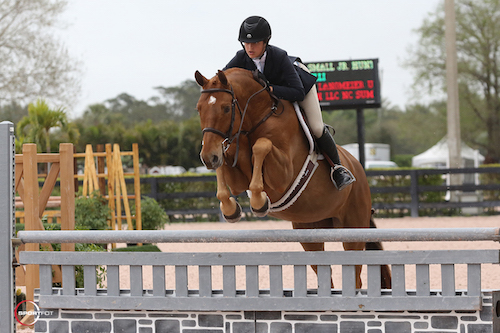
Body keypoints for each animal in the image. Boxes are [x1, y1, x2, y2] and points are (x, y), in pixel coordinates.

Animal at [193, 67, 392, 288]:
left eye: (226, 108)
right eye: (199, 109)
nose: (207, 157)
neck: (258, 117)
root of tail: (358, 169)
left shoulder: (282, 175)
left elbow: (261, 145)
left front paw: (259, 202)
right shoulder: (237, 177)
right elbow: (226, 160)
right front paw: (230, 209)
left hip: (353, 229)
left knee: (355, 278)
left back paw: (342, 176)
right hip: (310, 231)